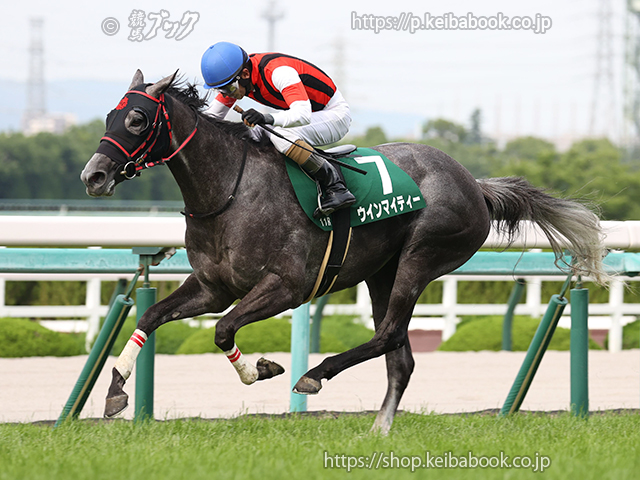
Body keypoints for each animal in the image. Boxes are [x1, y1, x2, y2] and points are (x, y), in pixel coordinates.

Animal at [81, 70, 609, 434]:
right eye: (108, 116)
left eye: (136, 118)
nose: (94, 176)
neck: (229, 191)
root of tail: (475, 185)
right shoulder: (213, 286)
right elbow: (151, 318)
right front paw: (115, 390)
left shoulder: (286, 286)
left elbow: (223, 329)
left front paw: (262, 369)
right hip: (381, 272)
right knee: (400, 356)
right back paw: (378, 429)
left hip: (421, 256)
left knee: (389, 334)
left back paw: (315, 374)